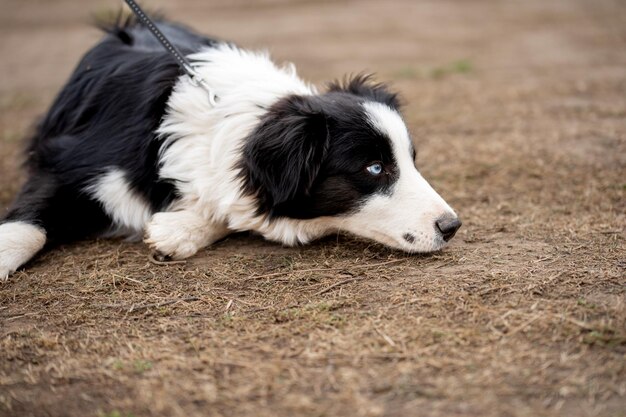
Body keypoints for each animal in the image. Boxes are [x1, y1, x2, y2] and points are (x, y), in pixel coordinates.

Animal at [0, 18, 458, 280]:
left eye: (411, 161)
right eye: (375, 169)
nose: (451, 226)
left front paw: (178, 230)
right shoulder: (67, 162)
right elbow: (27, 228)